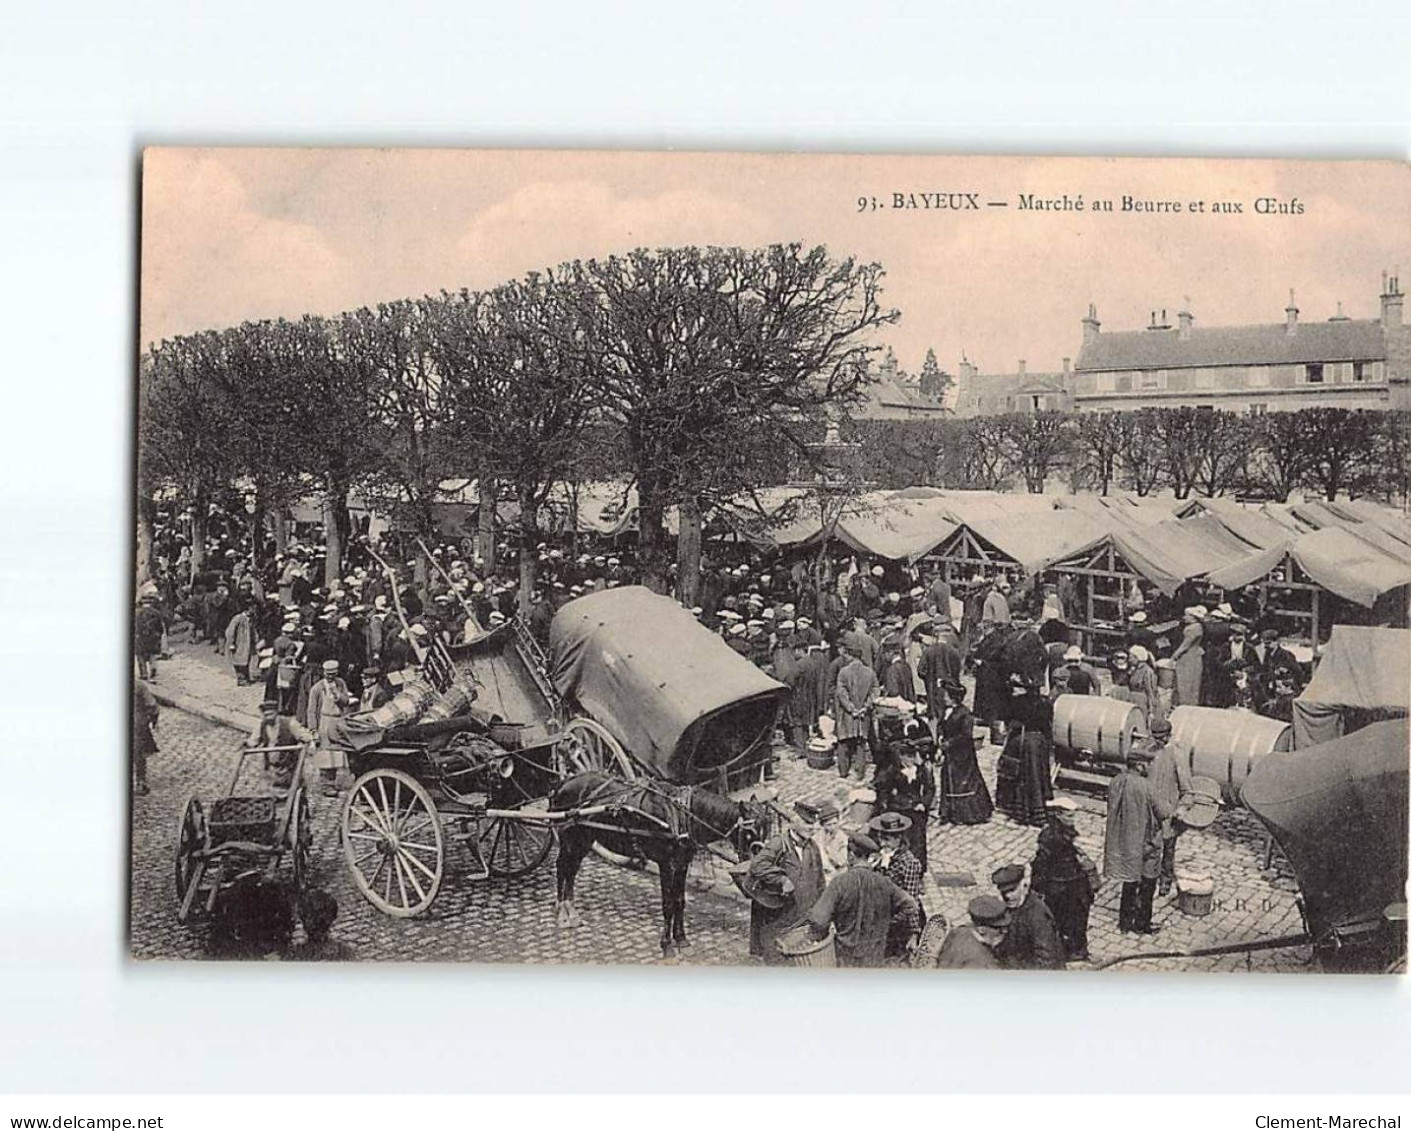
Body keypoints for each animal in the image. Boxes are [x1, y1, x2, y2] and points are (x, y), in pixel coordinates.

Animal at [553, 767, 773, 953]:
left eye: (768, 830)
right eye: (750, 833)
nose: (755, 863)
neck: (681, 814)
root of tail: (564, 782)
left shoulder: (683, 863)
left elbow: (679, 901)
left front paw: (681, 938)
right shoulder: (666, 863)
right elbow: (668, 904)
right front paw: (666, 944)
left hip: (585, 839)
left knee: (571, 870)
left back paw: (571, 911)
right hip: (569, 837)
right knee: (562, 867)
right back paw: (563, 913)